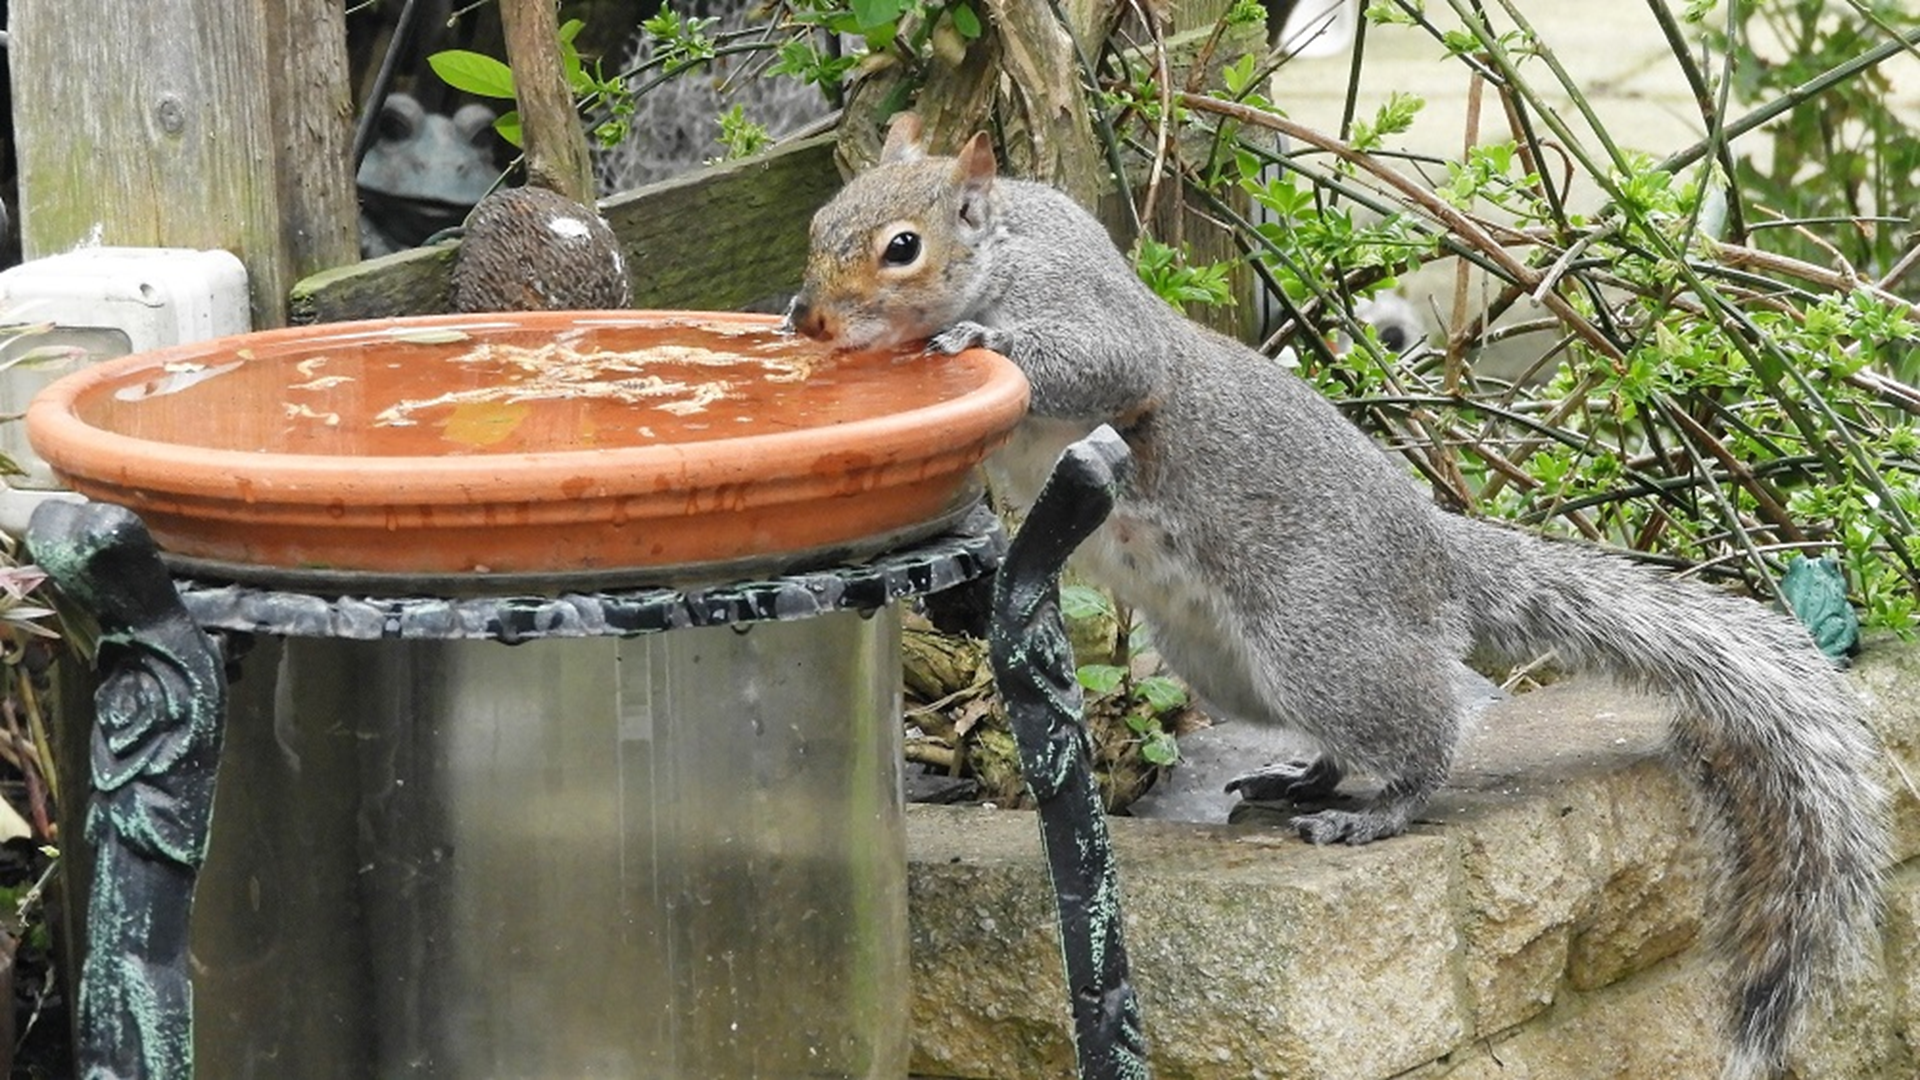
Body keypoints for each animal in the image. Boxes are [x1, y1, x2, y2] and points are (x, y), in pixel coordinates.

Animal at [786, 113, 1887, 1079]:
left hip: (1319, 638)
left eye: (901, 248)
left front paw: (968, 340)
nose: (808, 316)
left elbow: (1100, 363)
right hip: (1223, 663)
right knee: (1337, 732)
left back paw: (1375, 812)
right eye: (819, 218)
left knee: (1424, 732)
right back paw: (1302, 780)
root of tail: (1436, 564)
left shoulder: (1096, 323)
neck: (1007, 242)